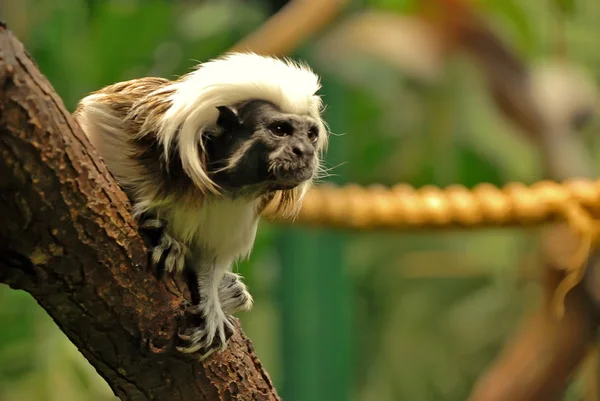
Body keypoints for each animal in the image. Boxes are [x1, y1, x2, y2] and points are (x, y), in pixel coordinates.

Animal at [75, 51, 330, 358]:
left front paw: (211, 299)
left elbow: (211, 256)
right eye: (280, 130)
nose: (304, 151)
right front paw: (163, 233)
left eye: (310, 135)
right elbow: (96, 118)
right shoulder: (142, 125)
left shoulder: (240, 208)